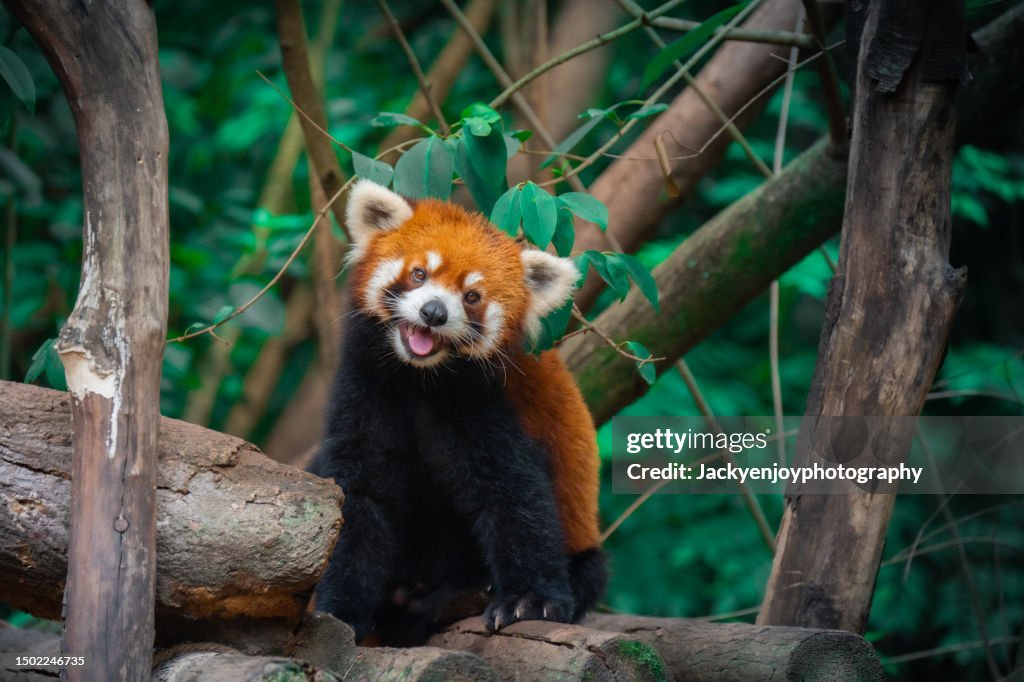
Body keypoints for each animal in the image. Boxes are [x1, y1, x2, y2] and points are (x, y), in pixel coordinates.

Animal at [310, 180, 606, 645]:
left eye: (472, 297)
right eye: (419, 274)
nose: (434, 312)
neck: (419, 378)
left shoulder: (486, 405)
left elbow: (514, 494)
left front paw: (528, 601)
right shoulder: (365, 388)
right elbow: (359, 495)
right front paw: (339, 613)